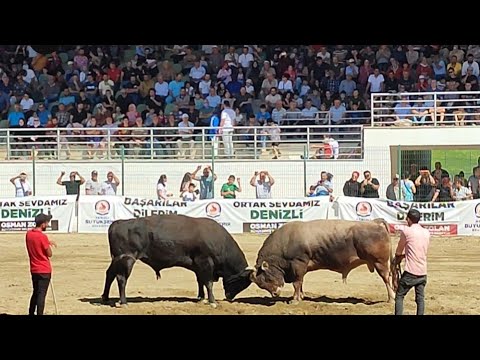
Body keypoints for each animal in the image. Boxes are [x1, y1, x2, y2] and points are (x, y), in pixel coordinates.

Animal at [101, 214, 255, 306]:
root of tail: (117, 223)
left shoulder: (198, 266)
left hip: (116, 260)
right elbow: (208, 283)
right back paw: (123, 302)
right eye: (242, 282)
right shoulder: (205, 262)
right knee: (121, 278)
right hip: (126, 259)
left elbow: (201, 281)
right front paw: (212, 301)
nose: (229, 297)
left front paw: (201, 298)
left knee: (109, 274)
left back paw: (105, 297)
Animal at [251, 218, 394, 302]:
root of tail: (375, 223)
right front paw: (300, 296)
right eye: (261, 285)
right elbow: (301, 283)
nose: (275, 294)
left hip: (380, 262)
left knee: (387, 278)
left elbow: (297, 282)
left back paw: (391, 298)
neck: (285, 241)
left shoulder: (298, 264)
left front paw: (295, 299)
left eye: (268, 279)